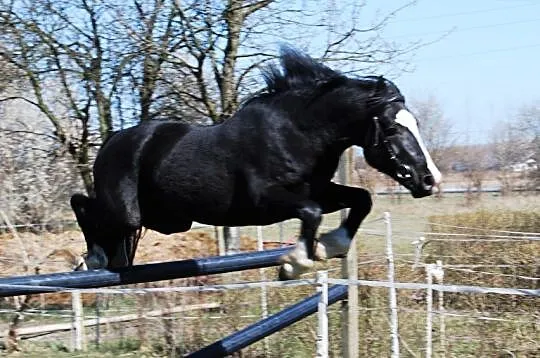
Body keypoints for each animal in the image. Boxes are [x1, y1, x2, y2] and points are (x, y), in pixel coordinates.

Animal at [70, 46, 438, 278]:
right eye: (391, 128)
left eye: (416, 123)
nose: (429, 180)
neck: (298, 132)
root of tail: (113, 140)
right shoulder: (268, 201)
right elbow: (311, 213)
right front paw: (295, 264)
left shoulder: (321, 190)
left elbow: (361, 199)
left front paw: (329, 247)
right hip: (128, 213)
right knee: (82, 203)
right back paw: (94, 259)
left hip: (167, 219)